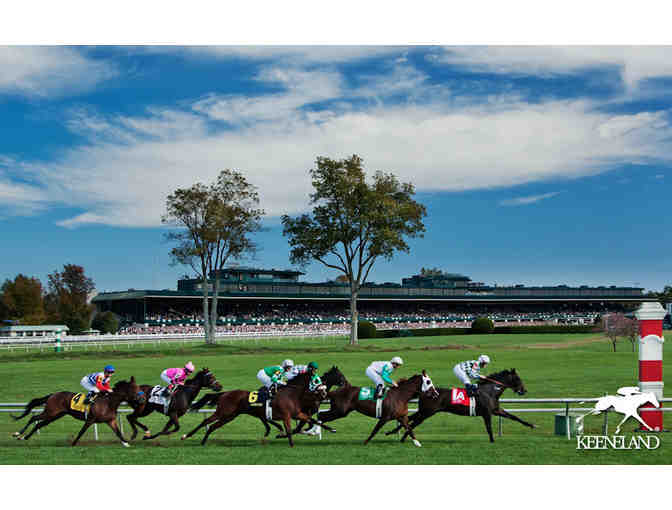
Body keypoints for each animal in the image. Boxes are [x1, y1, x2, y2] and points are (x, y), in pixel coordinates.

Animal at [12, 378, 146, 446]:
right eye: (134, 389)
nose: (143, 399)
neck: (109, 402)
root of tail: (53, 395)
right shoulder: (90, 419)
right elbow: (82, 431)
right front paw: (73, 443)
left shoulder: (110, 420)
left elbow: (118, 432)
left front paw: (126, 443)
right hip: (50, 412)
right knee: (33, 418)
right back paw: (18, 434)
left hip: (55, 415)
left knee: (39, 424)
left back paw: (25, 437)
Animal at [184, 370, 334, 446]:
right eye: (316, 380)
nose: (324, 392)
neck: (291, 393)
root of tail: (225, 393)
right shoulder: (286, 416)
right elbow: (289, 430)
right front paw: (290, 443)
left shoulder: (297, 414)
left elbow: (313, 420)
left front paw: (331, 429)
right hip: (223, 412)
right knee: (206, 422)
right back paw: (186, 435)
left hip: (230, 416)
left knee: (213, 426)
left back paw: (203, 442)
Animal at [384, 366, 536, 442]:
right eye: (517, 378)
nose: (524, 390)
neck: (490, 391)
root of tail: (426, 392)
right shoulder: (487, 413)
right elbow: (489, 427)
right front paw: (492, 440)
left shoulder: (496, 410)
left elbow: (514, 417)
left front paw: (532, 425)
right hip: (427, 412)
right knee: (413, 422)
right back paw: (402, 437)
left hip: (425, 411)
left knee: (410, 419)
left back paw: (394, 433)